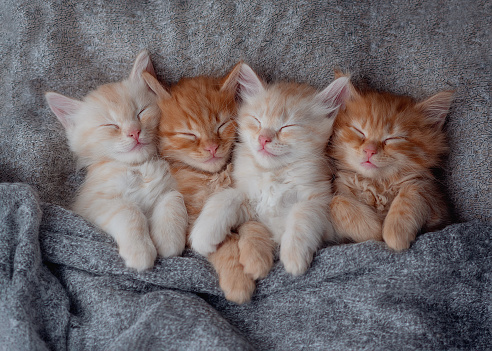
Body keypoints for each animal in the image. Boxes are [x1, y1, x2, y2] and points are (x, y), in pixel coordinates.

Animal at [45, 50, 187, 272]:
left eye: (141, 112)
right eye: (110, 125)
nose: (134, 132)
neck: (140, 167)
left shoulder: (172, 185)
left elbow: (173, 199)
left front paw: (168, 240)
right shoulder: (91, 203)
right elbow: (129, 211)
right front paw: (140, 252)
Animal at [142, 64, 276, 306]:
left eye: (222, 125)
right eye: (188, 134)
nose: (212, 147)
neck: (214, 176)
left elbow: (253, 225)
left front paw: (256, 255)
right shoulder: (193, 216)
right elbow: (225, 243)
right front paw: (237, 280)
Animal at [188, 64, 350, 276]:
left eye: (287, 126)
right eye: (257, 121)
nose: (263, 138)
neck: (273, 174)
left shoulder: (321, 205)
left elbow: (302, 214)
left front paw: (294, 256)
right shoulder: (251, 204)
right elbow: (226, 197)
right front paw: (204, 234)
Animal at [328, 78, 452, 252]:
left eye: (392, 138)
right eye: (359, 132)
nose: (369, 150)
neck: (378, 185)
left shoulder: (439, 208)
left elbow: (413, 190)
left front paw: (395, 232)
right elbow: (335, 201)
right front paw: (372, 228)